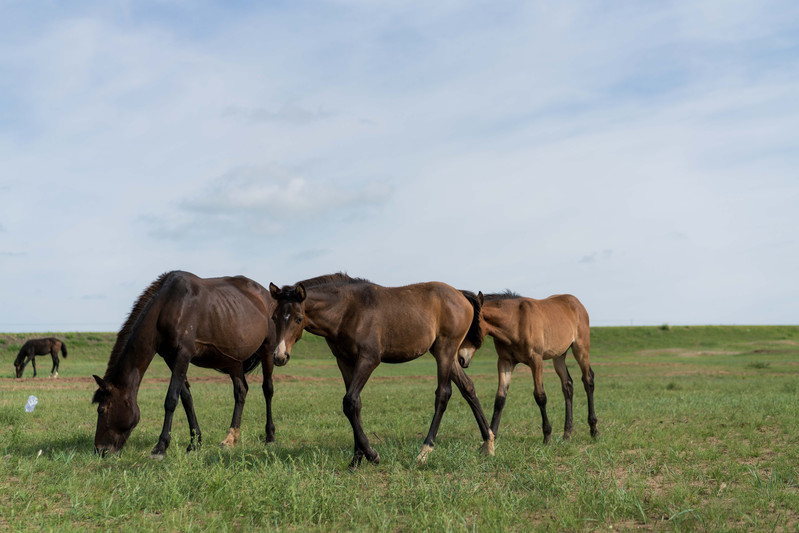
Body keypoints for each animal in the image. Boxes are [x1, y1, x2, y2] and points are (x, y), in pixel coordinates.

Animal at [92, 272, 282, 456]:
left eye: (101, 410)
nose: (100, 450)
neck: (168, 307)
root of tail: (266, 295)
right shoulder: (170, 357)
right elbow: (186, 398)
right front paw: (195, 443)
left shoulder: (183, 354)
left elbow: (171, 399)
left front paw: (161, 446)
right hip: (234, 360)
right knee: (241, 391)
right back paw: (230, 439)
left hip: (267, 350)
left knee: (267, 389)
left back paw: (270, 437)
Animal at [268, 272, 494, 468]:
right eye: (274, 317)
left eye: (298, 318)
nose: (280, 356)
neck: (348, 311)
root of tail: (459, 294)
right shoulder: (344, 361)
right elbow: (355, 405)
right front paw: (356, 459)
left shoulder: (369, 359)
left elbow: (349, 401)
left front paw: (372, 455)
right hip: (447, 354)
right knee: (468, 387)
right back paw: (488, 443)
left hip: (444, 351)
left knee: (443, 394)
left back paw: (424, 451)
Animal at [456, 294, 600, 442]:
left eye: (468, 327)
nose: (461, 358)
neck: (515, 322)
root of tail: (577, 303)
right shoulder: (505, 362)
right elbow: (500, 398)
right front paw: (493, 435)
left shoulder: (536, 360)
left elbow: (540, 396)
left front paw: (547, 436)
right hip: (559, 356)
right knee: (567, 385)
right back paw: (567, 434)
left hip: (581, 350)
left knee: (588, 380)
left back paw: (594, 429)